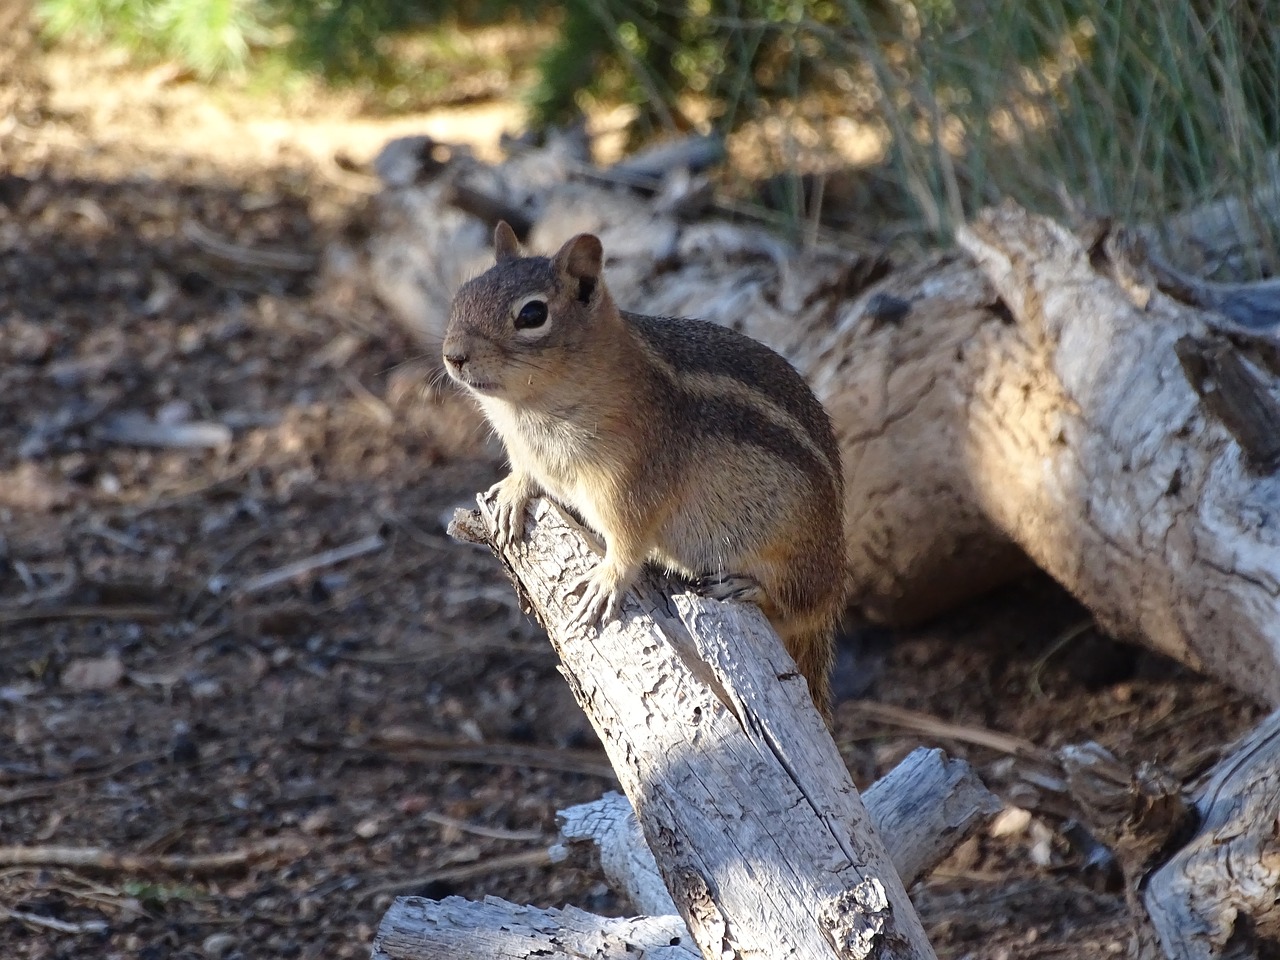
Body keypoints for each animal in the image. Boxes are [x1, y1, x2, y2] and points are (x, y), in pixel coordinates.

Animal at [445, 224, 844, 716]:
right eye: (462, 294)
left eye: (532, 314)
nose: (453, 355)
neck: (528, 412)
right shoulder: (529, 453)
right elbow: (525, 474)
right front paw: (512, 492)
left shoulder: (630, 482)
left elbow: (629, 542)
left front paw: (605, 581)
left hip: (793, 557)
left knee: (797, 605)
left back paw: (745, 587)